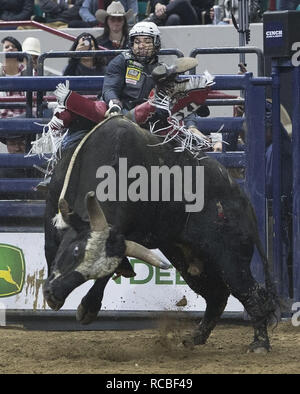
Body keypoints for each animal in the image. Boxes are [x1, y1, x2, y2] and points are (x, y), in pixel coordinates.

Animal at [43, 115, 278, 352]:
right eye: (75, 251)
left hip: (231, 259)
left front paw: (88, 308)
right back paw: (195, 337)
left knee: (251, 293)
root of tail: (243, 200)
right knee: (217, 295)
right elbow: (51, 251)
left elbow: (109, 273)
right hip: (188, 260)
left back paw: (259, 343)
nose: (53, 295)